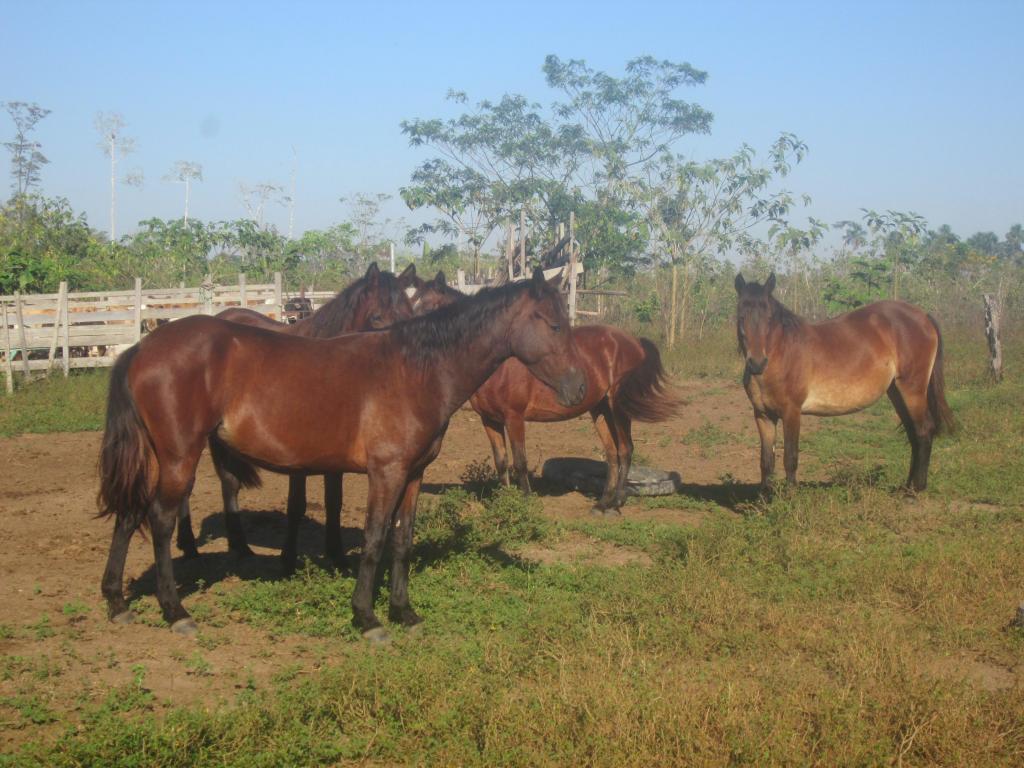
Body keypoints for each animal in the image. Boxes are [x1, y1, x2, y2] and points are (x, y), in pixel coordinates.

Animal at [174, 262, 417, 569]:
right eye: (376, 317)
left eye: (410, 315)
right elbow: (296, 504)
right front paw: (288, 558)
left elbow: (334, 500)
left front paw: (336, 555)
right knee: (198, 484)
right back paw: (192, 544)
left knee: (226, 484)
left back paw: (238, 545)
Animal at [407, 270, 679, 518]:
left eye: (426, 306)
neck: (500, 364)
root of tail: (633, 341)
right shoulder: (489, 420)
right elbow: (501, 461)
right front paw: (505, 503)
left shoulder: (514, 418)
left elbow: (520, 462)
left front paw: (525, 504)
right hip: (600, 408)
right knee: (612, 454)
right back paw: (602, 504)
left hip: (618, 407)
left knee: (625, 450)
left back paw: (616, 503)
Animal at [733, 274, 954, 493]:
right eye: (741, 317)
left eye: (769, 318)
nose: (757, 363)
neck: (782, 353)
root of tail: (923, 316)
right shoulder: (763, 416)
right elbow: (766, 462)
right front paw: (765, 500)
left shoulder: (791, 413)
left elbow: (790, 459)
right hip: (896, 392)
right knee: (913, 433)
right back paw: (907, 486)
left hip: (912, 390)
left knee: (924, 431)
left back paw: (916, 490)